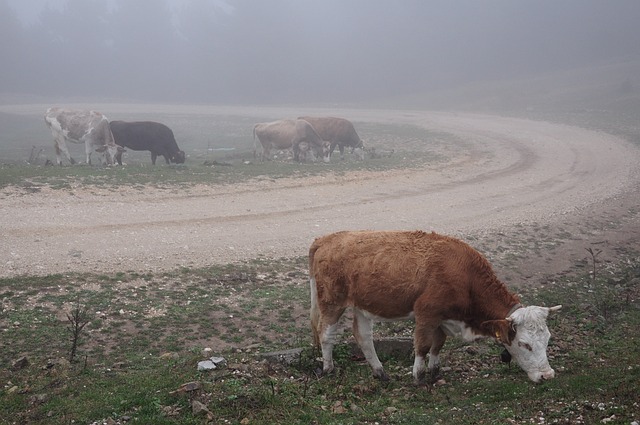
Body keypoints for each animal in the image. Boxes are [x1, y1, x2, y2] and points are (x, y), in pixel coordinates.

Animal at [308, 230, 564, 382]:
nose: (548, 375)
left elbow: (437, 344)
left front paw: (434, 370)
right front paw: (418, 375)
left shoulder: (442, 318)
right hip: (331, 301)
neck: (465, 276)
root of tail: (327, 238)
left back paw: (380, 372)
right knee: (326, 334)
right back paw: (329, 368)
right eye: (524, 344)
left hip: (362, 305)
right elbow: (422, 345)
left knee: (363, 336)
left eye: (548, 340)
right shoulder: (426, 313)